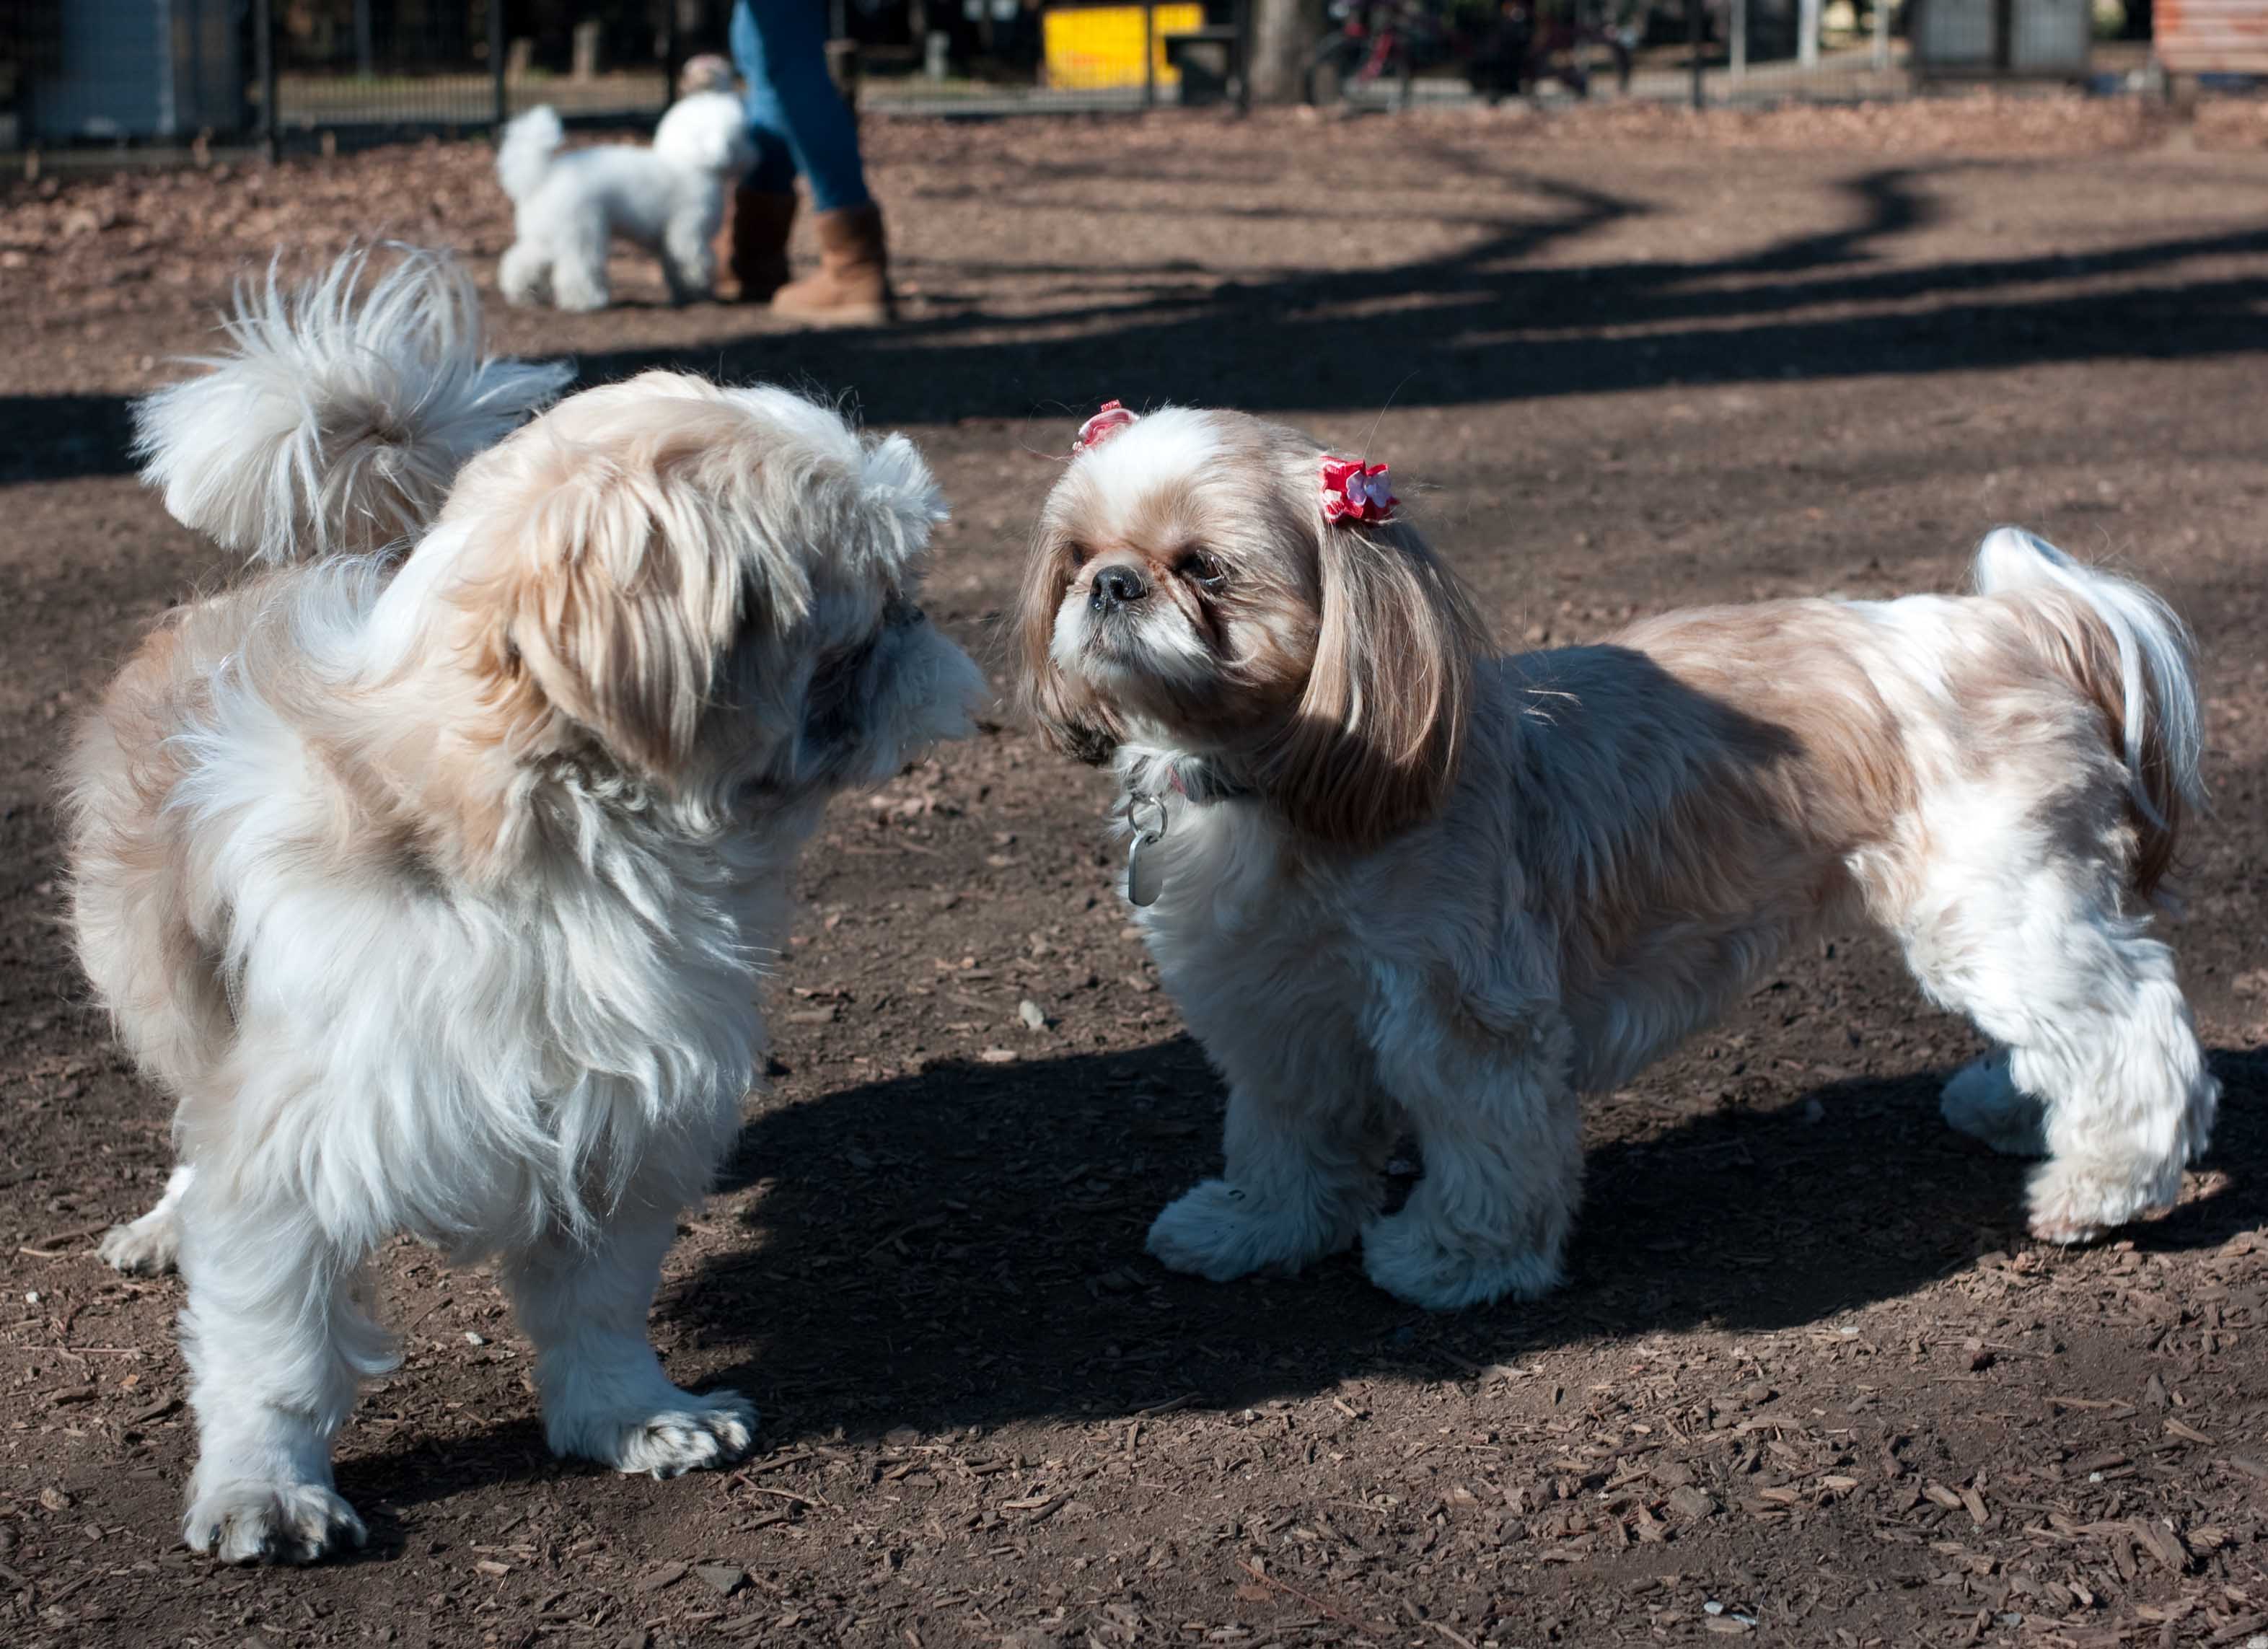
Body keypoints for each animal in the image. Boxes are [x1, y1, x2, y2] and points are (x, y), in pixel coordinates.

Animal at [69, 248, 984, 1560]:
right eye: (865, 608)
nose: (930, 637)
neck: (561, 855)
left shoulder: (618, 1121)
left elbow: (594, 1309)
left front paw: (631, 1418)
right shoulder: (291, 1152)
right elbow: (274, 1352)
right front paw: (266, 1489)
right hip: (165, 995)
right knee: (191, 1119)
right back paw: (165, 1226)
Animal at [496, 82, 752, 310]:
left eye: (732, 137)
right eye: (705, 134)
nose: (723, 154)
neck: (689, 165)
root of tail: (543, 176)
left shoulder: (668, 239)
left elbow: (672, 267)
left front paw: (683, 295)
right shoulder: (688, 232)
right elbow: (694, 262)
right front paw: (698, 290)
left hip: (545, 235)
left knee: (521, 261)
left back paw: (523, 295)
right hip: (583, 232)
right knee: (578, 270)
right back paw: (587, 301)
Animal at [1020, 403, 2223, 1315]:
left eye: (1206, 568)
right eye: (1077, 558)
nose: (1115, 584)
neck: (1281, 776)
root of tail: (2018, 624)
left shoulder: (1462, 1015)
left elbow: (1488, 1146)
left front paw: (1457, 1259)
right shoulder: (1277, 1014)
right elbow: (1287, 1140)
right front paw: (1255, 1229)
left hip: (1993, 905)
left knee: (2129, 1021)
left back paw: (2099, 1185)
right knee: (2071, 1021)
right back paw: (2020, 1113)